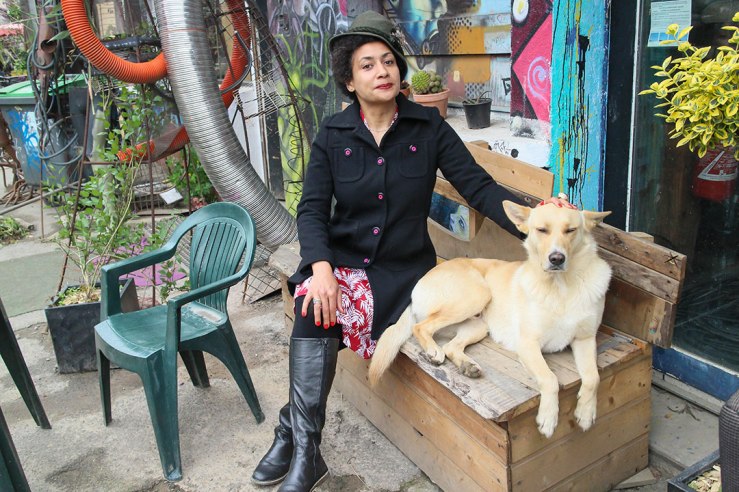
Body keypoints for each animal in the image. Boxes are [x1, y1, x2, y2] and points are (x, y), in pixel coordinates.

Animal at [368, 200, 612, 438]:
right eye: (541, 230)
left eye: (571, 230)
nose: (557, 258)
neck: (562, 287)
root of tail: (420, 281)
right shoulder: (528, 344)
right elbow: (550, 379)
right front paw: (548, 418)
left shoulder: (585, 339)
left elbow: (593, 377)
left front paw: (586, 413)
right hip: (476, 294)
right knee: (421, 327)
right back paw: (433, 351)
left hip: (478, 326)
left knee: (451, 346)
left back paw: (467, 366)